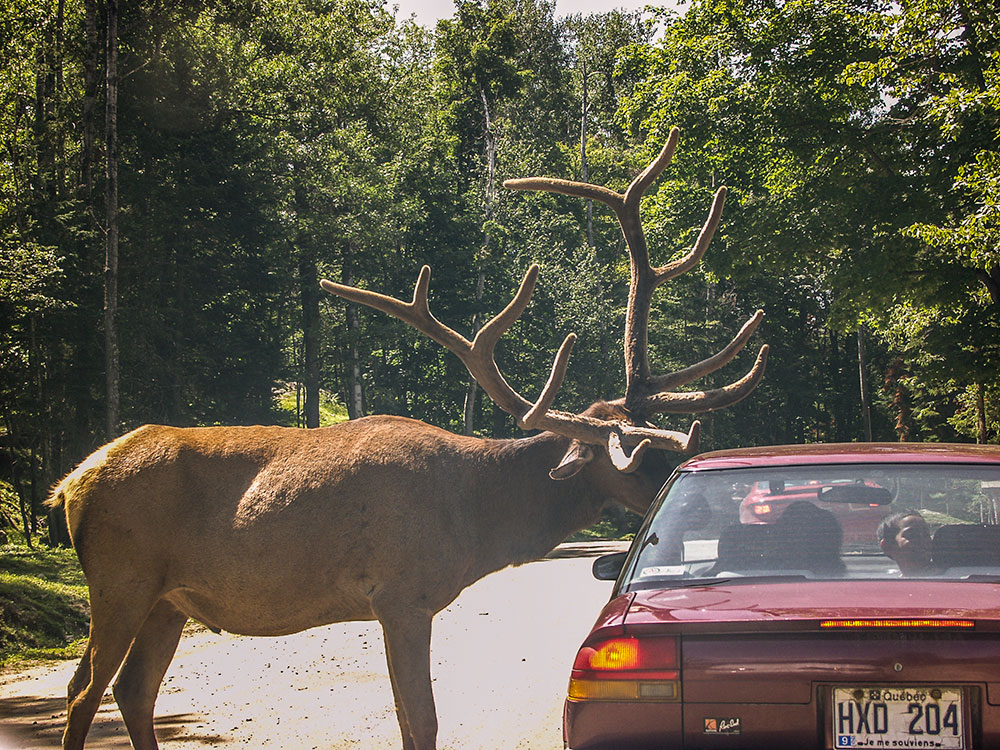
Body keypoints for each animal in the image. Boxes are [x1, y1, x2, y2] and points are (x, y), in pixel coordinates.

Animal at [48, 126, 764, 748]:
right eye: (634, 456)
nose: (701, 504)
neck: (476, 517)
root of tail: (72, 482)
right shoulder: (401, 593)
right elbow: (422, 722)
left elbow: (407, 720)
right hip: (120, 579)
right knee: (83, 692)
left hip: (168, 599)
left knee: (133, 692)